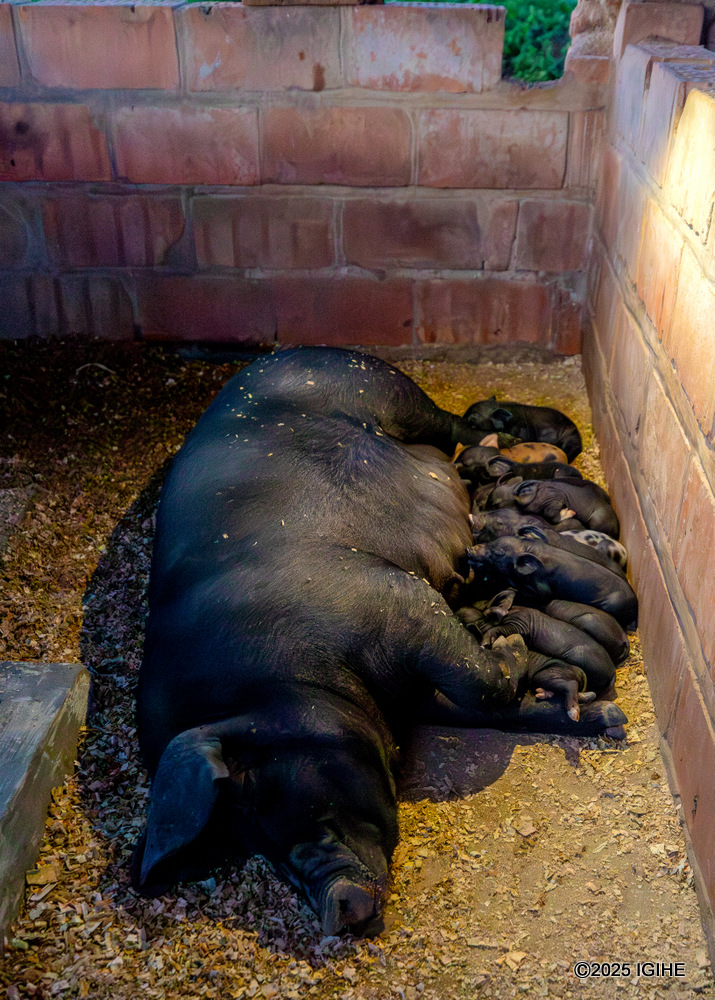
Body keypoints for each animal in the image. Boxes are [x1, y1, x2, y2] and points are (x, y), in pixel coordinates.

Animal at [134, 347, 626, 937]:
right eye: (256, 847)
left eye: (273, 794)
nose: (335, 908)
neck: (286, 682)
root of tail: (291, 352)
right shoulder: (401, 690)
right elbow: (487, 707)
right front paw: (598, 714)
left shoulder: (396, 599)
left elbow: (479, 682)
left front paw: (506, 643)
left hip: (396, 396)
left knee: (455, 426)